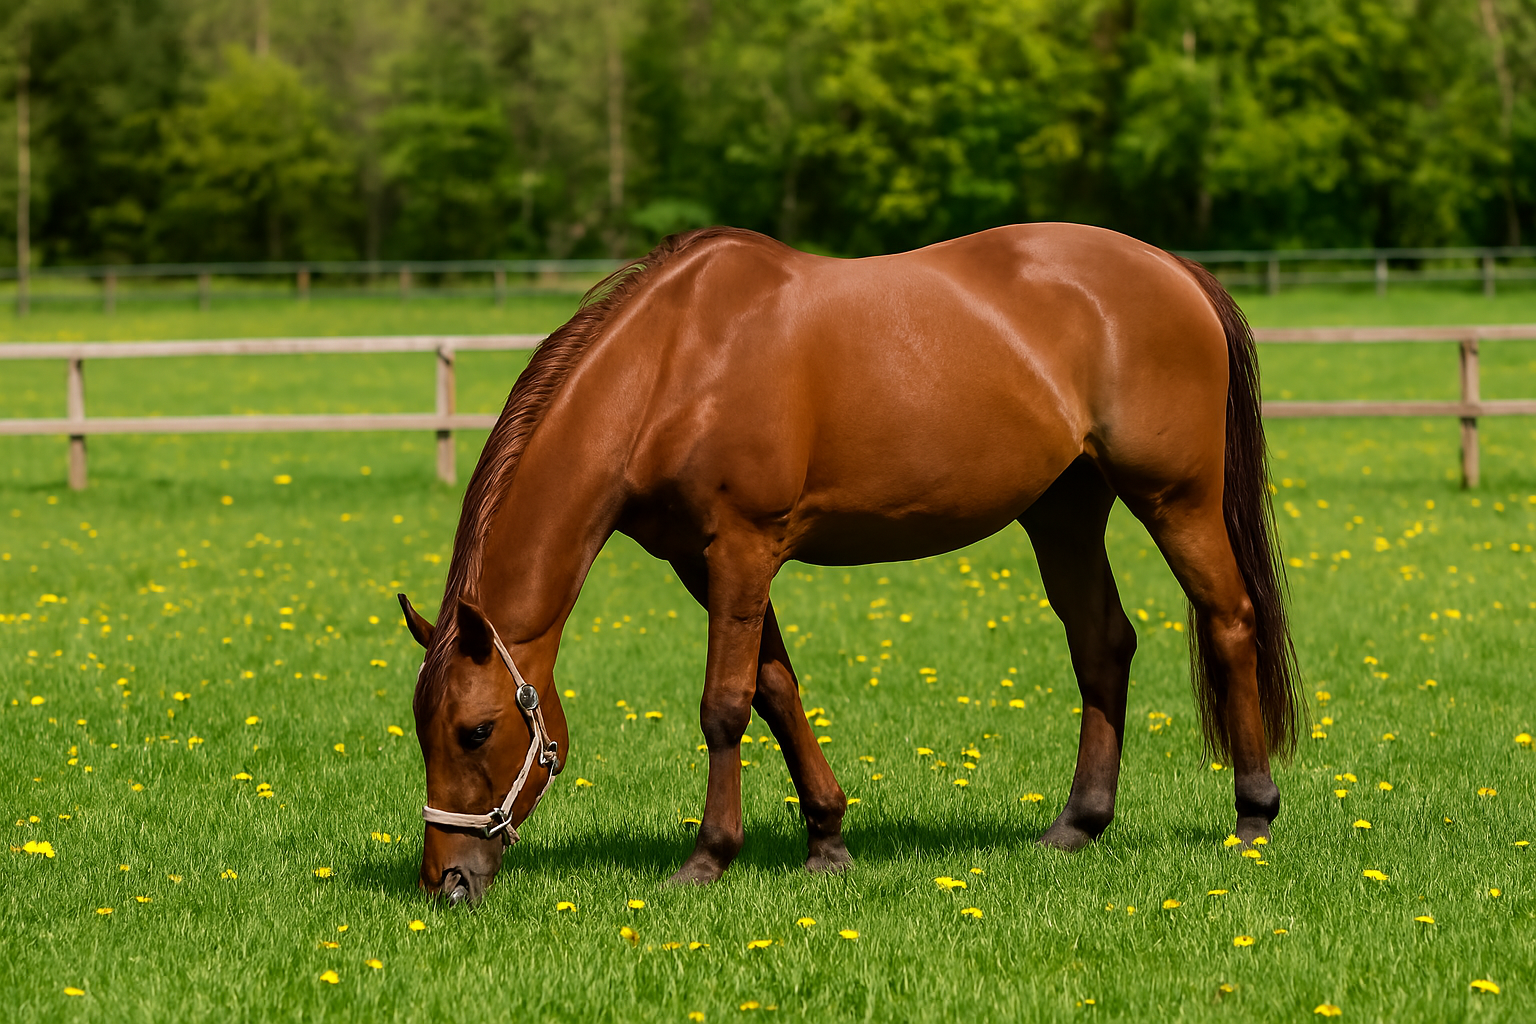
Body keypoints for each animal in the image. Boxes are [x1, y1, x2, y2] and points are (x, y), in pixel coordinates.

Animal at [398, 222, 1303, 905]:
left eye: (477, 730)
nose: (446, 883)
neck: (675, 364)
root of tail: (1175, 270)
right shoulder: (705, 561)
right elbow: (776, 690)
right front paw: (828, 839)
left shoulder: (742, 547)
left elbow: (724, 705)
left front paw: (708, 858)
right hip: (1064, 510)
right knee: (1104, 644)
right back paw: (1076, 824)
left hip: (1176, 498)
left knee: (1229, 621)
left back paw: (1253, 815)